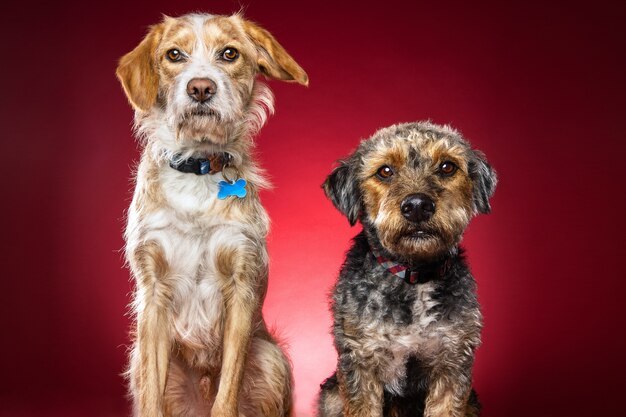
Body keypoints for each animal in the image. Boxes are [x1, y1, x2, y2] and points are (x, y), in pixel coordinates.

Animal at [116, 13, 308, 416]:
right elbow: (152, 392)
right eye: (174, 54)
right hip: (140, 357)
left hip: (270, 359)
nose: (201, 88)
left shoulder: (240, 284)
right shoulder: (153, 290)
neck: (198, 167)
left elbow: (228, 387)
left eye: (229, 53)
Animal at [320, 121, 494, 416]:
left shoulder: (452, 361)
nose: (417, 206)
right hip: (332, 397)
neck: (415, 276)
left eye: (447, 167)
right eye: (385, 171)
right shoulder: (361, 359)